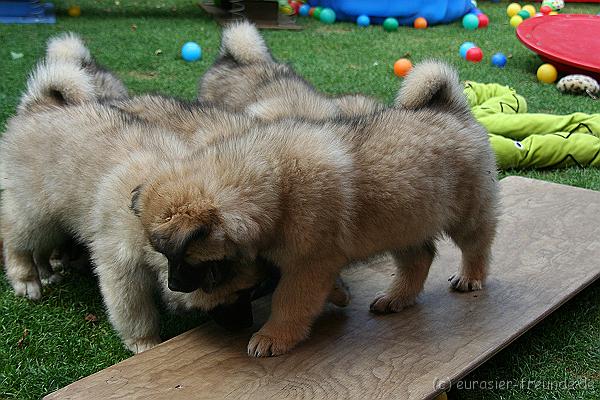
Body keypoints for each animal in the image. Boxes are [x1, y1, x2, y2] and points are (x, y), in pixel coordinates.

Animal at [136, 60, 502, 356]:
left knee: (478, 244)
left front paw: (273, 337)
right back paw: (396, 298)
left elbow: (289, 301)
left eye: (183, 256)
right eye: (165, 255)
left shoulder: (307, 265)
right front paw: (338, 296)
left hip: (467, 213)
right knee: (420, 259)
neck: (275, 183)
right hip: (404, 222)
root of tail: (453, 111)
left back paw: (470, 277)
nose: (173, 286)